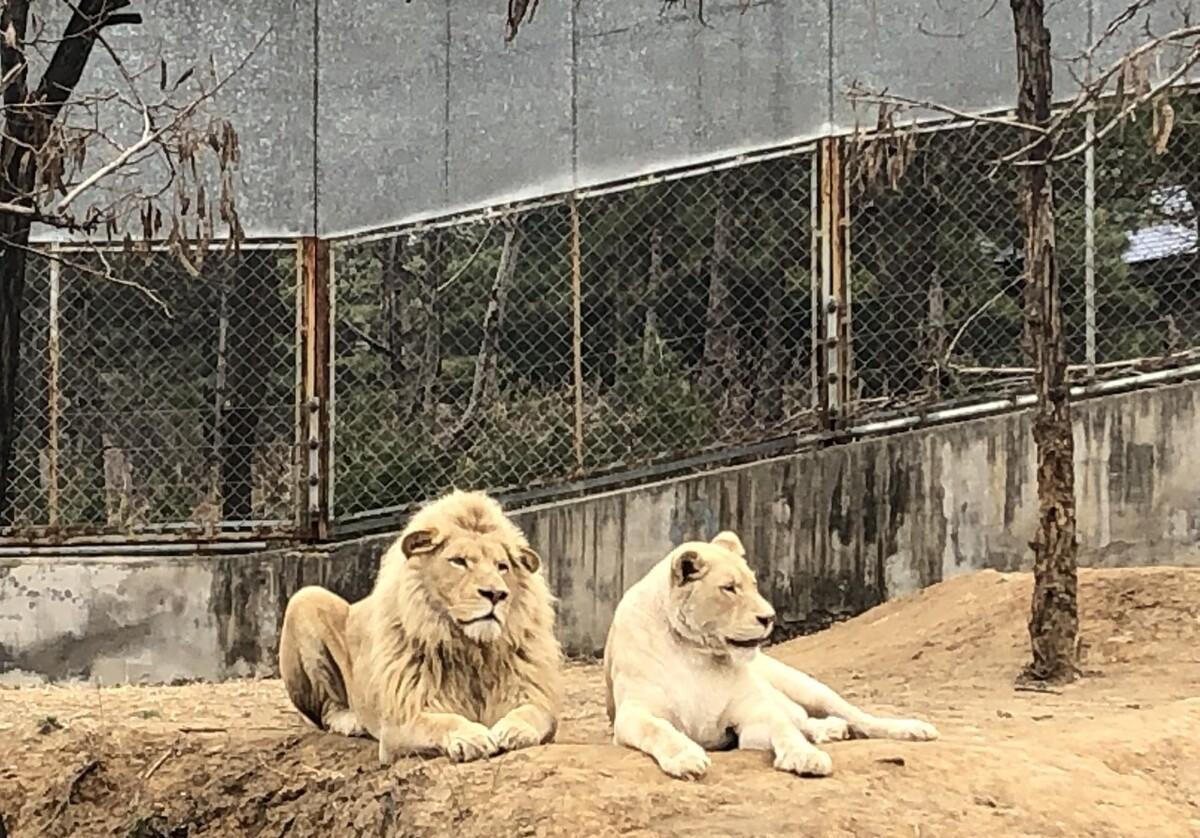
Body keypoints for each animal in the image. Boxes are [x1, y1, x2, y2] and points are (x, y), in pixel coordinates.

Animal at [278, 489, 562, 764]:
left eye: (502, 566)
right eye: (459, 561)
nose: (495, 594)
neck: (471, 649)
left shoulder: (532, 696)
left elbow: (534, 713)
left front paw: (514, 731)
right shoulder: (401, 720)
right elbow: (441, 722)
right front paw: (471, 737)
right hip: (305, 597)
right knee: (326, 711)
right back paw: (351, 721)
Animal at [603, 531, 938, 780]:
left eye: (753, 584)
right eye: (729, 588)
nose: (770, 617)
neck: (694, 652)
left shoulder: (751, 713)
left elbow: (782, 728)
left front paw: (806, 757)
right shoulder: (634, 713)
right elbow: (659, 730)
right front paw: (686, 758)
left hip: (808, 687)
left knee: (853, 718)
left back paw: (911, 729)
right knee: (804, 720)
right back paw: (830, 730)